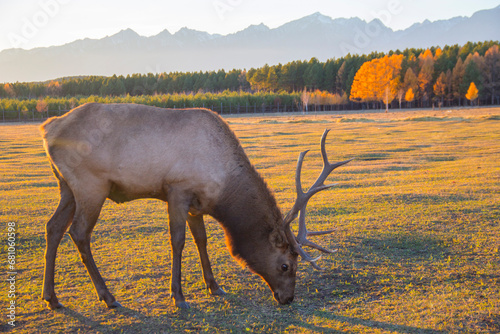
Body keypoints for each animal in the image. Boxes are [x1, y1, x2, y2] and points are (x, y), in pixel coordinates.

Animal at [40, 103, 352, 310]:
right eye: (286, 265)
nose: (288, 298)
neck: (223, 189)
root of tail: (47, 128)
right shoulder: (177, 189)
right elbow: (178, 241)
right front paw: (178, 296)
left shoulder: (196, 204)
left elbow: (201, 240)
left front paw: (214, 286)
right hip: (91, 185)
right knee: (79, 233)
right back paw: (108, 297)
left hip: (66, 186)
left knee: (53, 227)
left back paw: (52, 297)